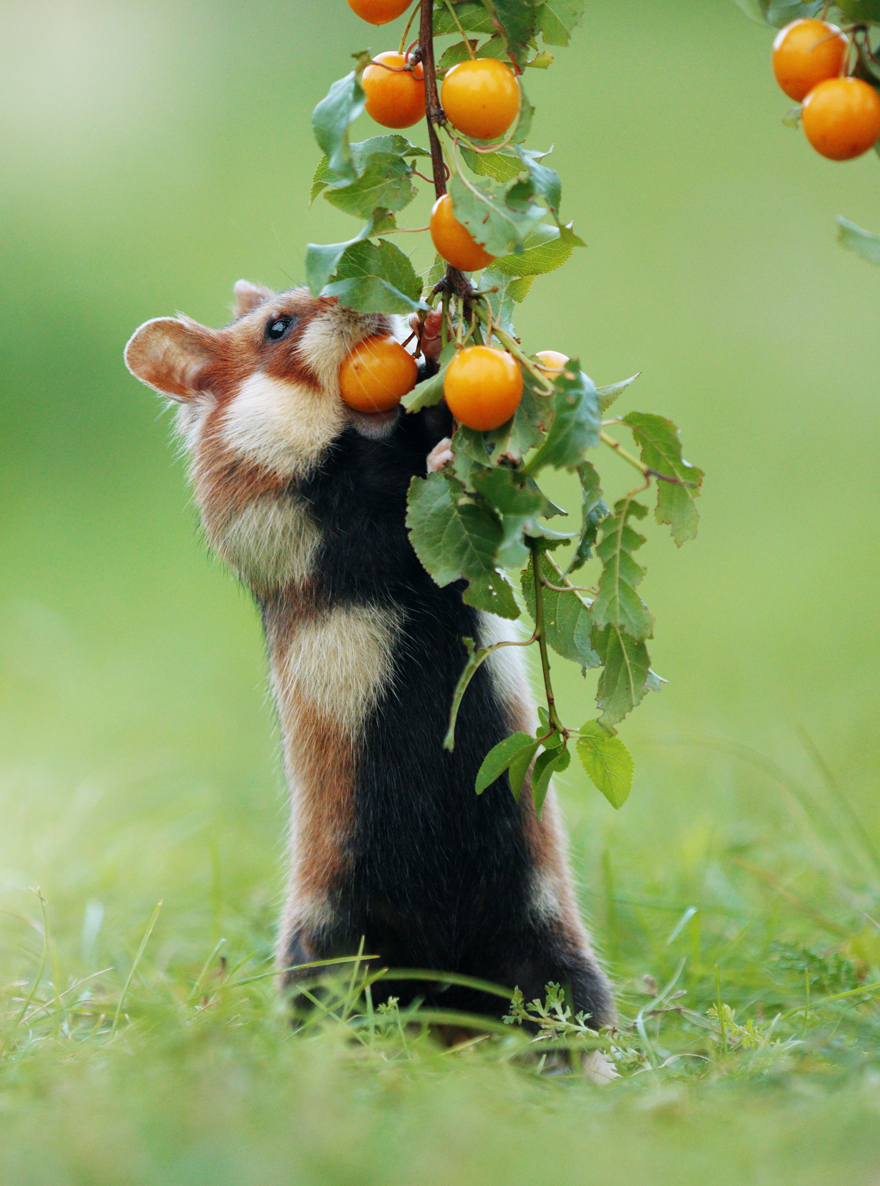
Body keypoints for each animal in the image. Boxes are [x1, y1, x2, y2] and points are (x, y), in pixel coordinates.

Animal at [127, 284, 616, 1038]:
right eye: (277, 327)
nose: (360, 296)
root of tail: (442, 997)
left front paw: (445, 348)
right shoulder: (288, 522)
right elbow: (380, 499)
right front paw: (437, 454)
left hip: (551, 941)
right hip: (329, 938)